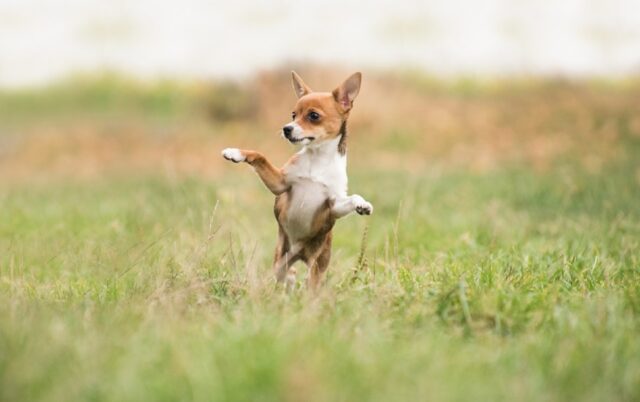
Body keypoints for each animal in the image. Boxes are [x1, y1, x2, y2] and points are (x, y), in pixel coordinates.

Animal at [222, 70, 372, 288]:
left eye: (313, 116)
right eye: (293, 115)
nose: (287, 128)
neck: (317, 159)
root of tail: (298, 254)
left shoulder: (333, 206)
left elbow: (352, 198)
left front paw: (362, 205)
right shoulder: (280, 183)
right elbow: (260, 156)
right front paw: (236, 152)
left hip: (317, 265)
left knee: (310, 282)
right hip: (281, 259)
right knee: (286, 273)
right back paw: (290, 279)